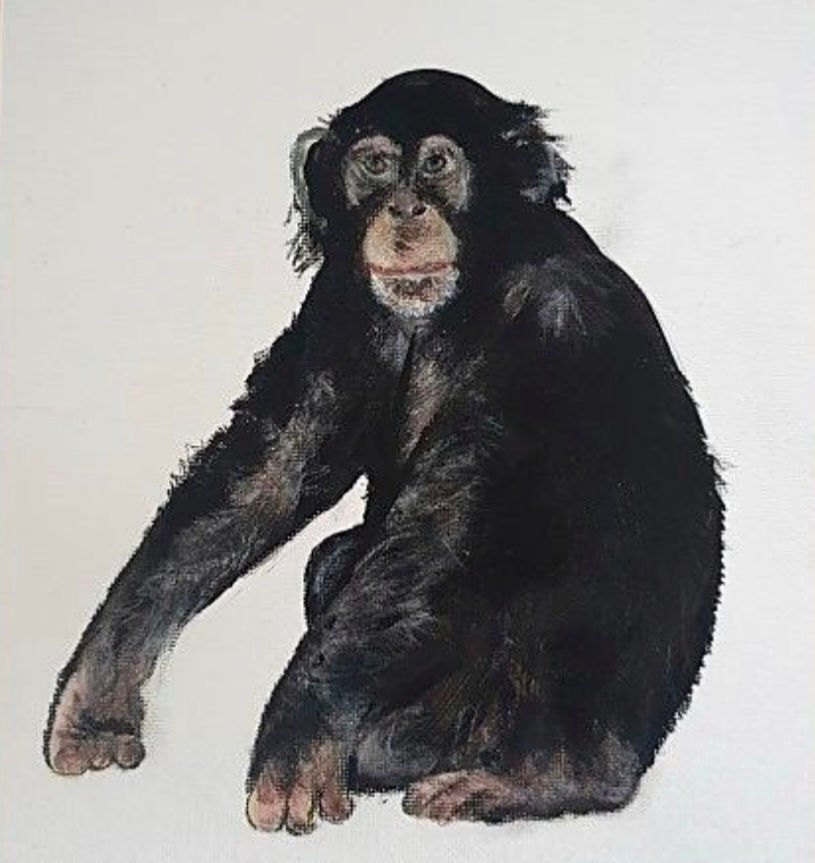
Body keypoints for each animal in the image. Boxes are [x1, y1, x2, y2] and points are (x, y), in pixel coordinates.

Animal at [45, 69, 723, 833]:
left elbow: (441, 527)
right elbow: (269, 471)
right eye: (374, 164)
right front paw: (96, 699)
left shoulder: (555, 318)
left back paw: (541, 778)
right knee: (332, 558)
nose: (403, 206)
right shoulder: (340, 299)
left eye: (436, 163)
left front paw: (296, 741)